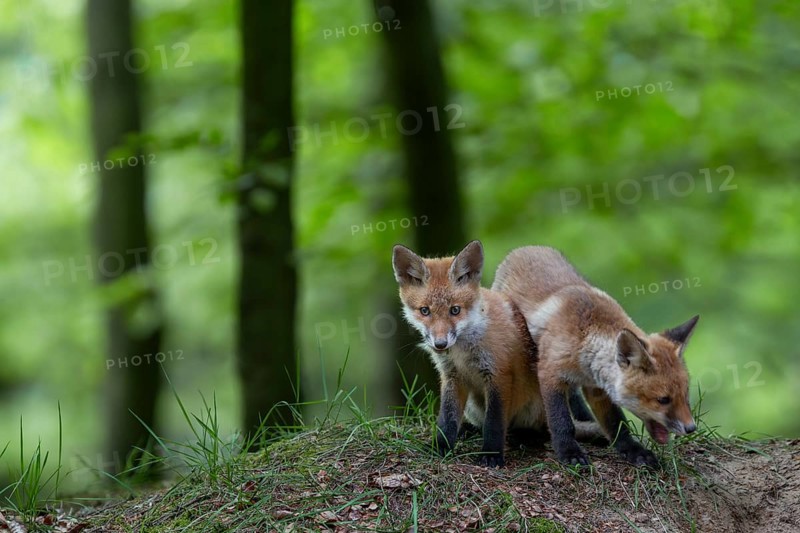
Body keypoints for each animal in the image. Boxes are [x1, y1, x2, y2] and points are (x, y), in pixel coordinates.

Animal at [392, 240, 596, 467]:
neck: (463, 353)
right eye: (425, 311)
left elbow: (494, 422)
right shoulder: (452, 376)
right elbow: (447, 418)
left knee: (540, 429)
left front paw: (491, 454)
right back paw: (470, 430)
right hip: (473, 405)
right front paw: (441, 446)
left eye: (455, 310)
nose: (440, 344)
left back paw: (525, 437)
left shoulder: (498, 373)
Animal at [492, 245, 699, 468]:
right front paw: (569, 451)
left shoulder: (597, 387)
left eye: (685, 395)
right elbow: (561, 421)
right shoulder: (550, 373)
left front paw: (633, 451)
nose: (691, 428)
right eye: (663, 400)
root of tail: (526, 248)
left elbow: (617, 424)